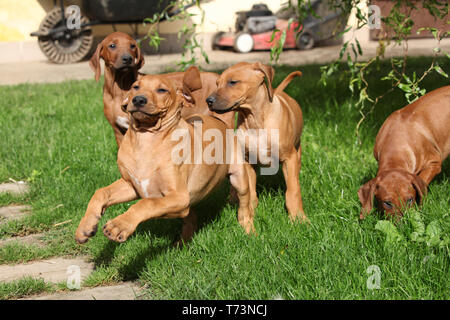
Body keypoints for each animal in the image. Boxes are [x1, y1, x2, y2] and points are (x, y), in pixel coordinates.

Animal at [75, 70, 255, 245]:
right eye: (135, 87)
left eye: (162, 90)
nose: (138, 99)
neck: (146, 139)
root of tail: (219, 121)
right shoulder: (131, 185)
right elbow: (101, 192)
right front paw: (86, 226)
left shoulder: (179, 197)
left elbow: (145, 203)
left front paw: (119, 225)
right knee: (190, 217)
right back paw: (183, 242)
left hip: (238, 177)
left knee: (244, 205)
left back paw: (248, 230)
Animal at [206, 62, 308, 228]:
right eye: (217, 83)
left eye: (232, 82)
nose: (208, 101)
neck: (255, 121)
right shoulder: (248, 161)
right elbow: (250, 192)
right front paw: (250, 213)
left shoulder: (289, 158)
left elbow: (292, 191)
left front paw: (298, 218)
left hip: (297, 153)